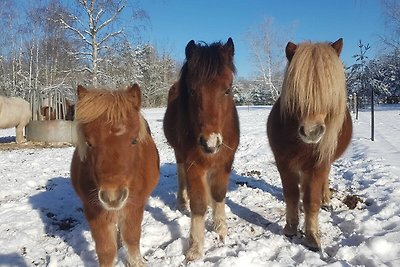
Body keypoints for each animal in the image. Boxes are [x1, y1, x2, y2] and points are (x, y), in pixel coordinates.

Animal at [70, 85, 159, 267]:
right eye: (89, 143)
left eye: (134, 140)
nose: (113, 197)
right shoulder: (94, 211)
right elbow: (106, 250)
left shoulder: (134, 207)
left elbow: (132, 239)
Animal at [162, 38, 238, 260]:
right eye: (192, 91)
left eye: (228, 89)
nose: (209, 143)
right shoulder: (194, 165)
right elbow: (198, 204)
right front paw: (195, 248)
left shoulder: (224, 162)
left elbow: (219, 194)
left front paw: (221, 228)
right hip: (180, 155)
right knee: (181, 177)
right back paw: (181, 202)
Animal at [268, 38, 352, 252]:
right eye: (296, 90)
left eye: (329, 90)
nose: (311, 131)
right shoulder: (284, 163)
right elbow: (291, 195)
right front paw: (290, 228)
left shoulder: (318, 165)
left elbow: (311, 201)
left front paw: (312, 237)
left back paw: (326, 200)